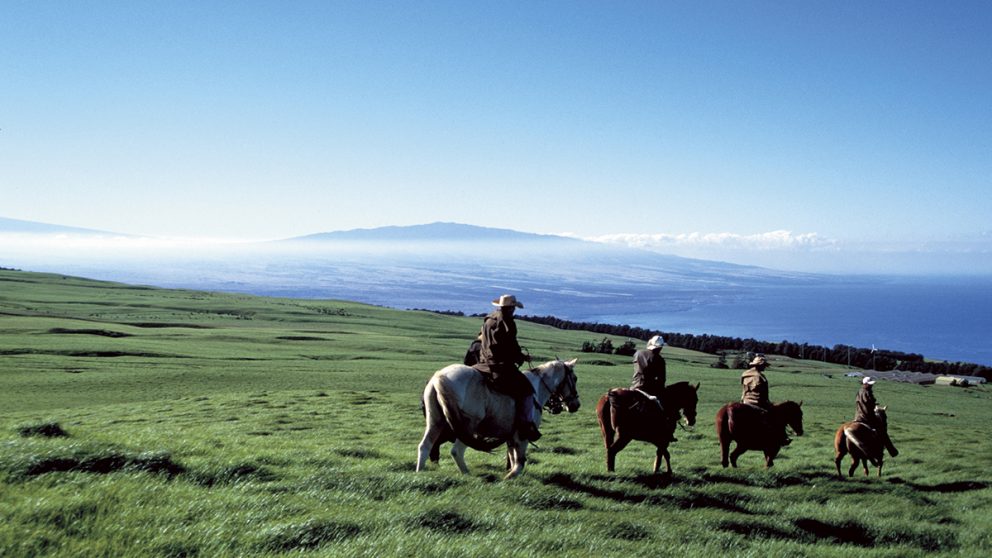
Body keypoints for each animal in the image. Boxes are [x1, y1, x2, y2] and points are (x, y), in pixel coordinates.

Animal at [418, 364, 580, 482]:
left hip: (436, 422)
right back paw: (469, 475)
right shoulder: (522, 436)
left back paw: (420, 473)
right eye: (575, 378)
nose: (575, 405)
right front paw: (509, 477)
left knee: (425, 445)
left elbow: (512, 456)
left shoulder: (511, 436)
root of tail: (439, 377)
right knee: (456, 451)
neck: (537, 389)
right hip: (467, 427)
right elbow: (519, 461)